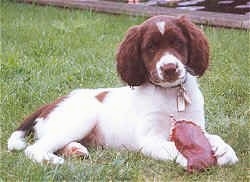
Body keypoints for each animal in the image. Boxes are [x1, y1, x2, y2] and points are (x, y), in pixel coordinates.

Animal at [7, 16, 238, 168]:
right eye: (150, 48)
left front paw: (224, 150)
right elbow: (174, 148)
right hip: (82, 117)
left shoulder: (195, 125)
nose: (170, 68)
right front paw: (192, 158)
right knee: (34, 148)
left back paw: (76, 150)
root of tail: (49, 104)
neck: (171, 94)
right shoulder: (149, 140)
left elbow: (214, 138)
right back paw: (53, 160)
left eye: (178, 43)